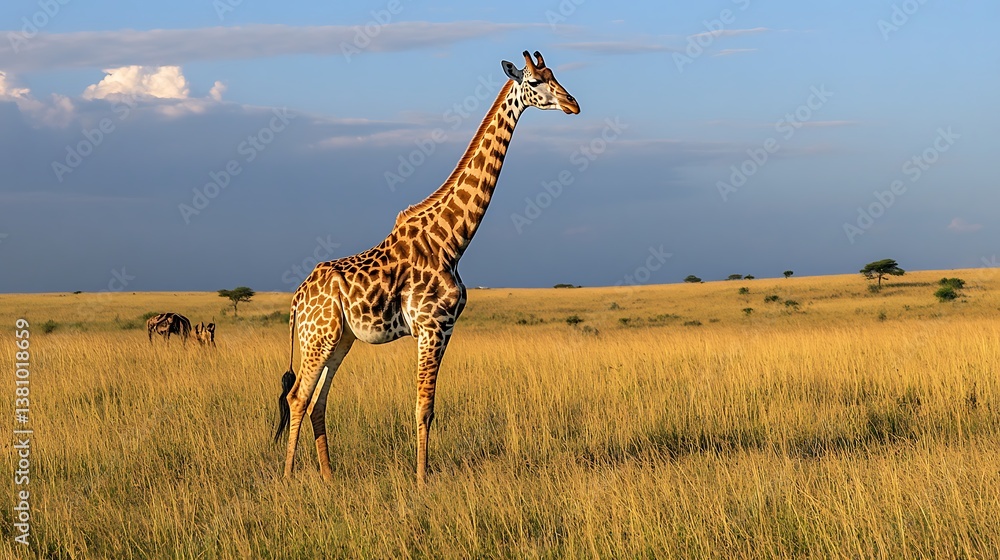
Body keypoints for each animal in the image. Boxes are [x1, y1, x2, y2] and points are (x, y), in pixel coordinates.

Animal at [274, 51, 579, 485]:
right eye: (535, 81)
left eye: (554, 75)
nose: (574, 104)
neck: (452, 241)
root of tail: (297, 299)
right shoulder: (432, 327)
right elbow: (423, 408)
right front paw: (421, 480)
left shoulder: (446, 329)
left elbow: (429, 406)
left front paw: (421, 475)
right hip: (318, 337)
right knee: (298, 396)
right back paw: (287, 477)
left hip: (340, 339)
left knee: (317, 401)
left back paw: (329, 478)